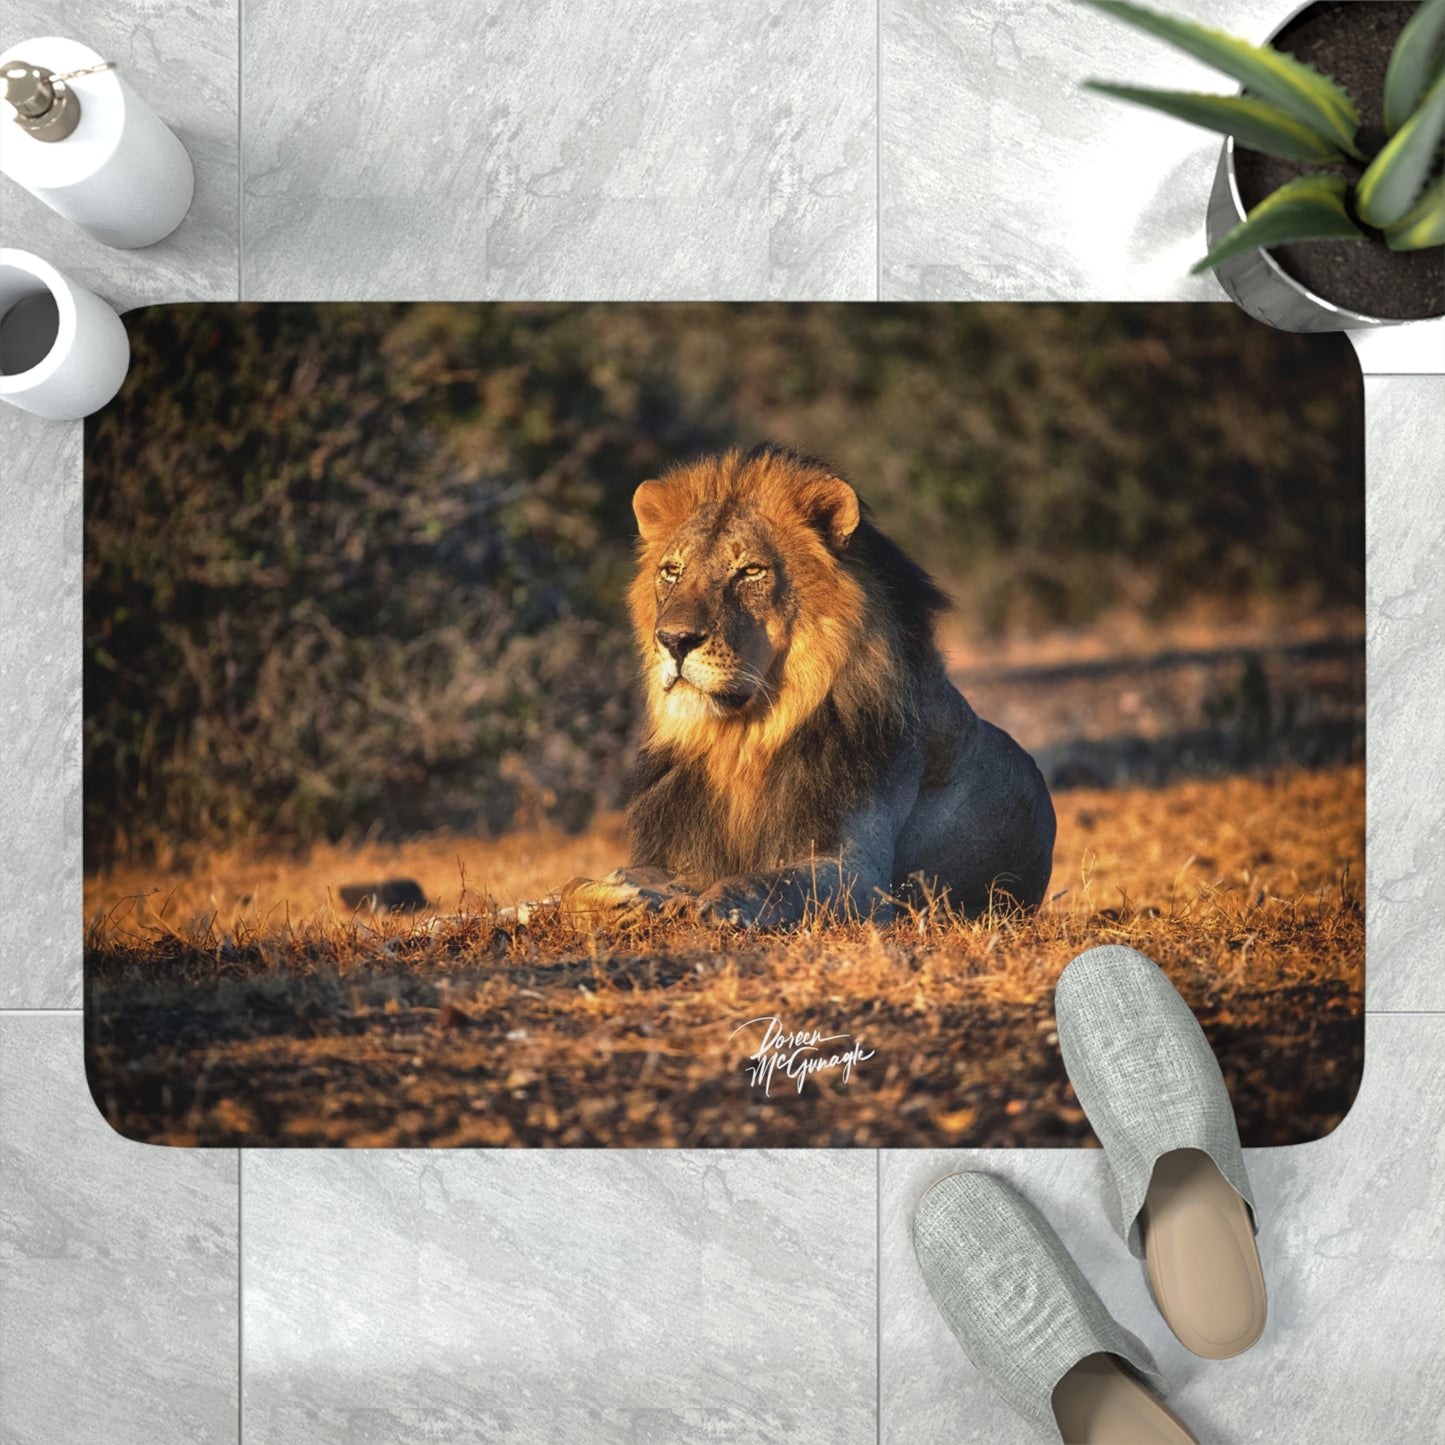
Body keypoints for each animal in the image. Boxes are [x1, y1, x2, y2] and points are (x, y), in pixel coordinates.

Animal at [562, 445, 1056, 928]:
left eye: (750, 571)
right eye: (671, 570)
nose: (673, 640)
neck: (741, 741)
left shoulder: (860, 872)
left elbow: (770, 881)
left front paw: (718, 905)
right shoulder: (681, 854)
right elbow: (574, 884)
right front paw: (613, 895)